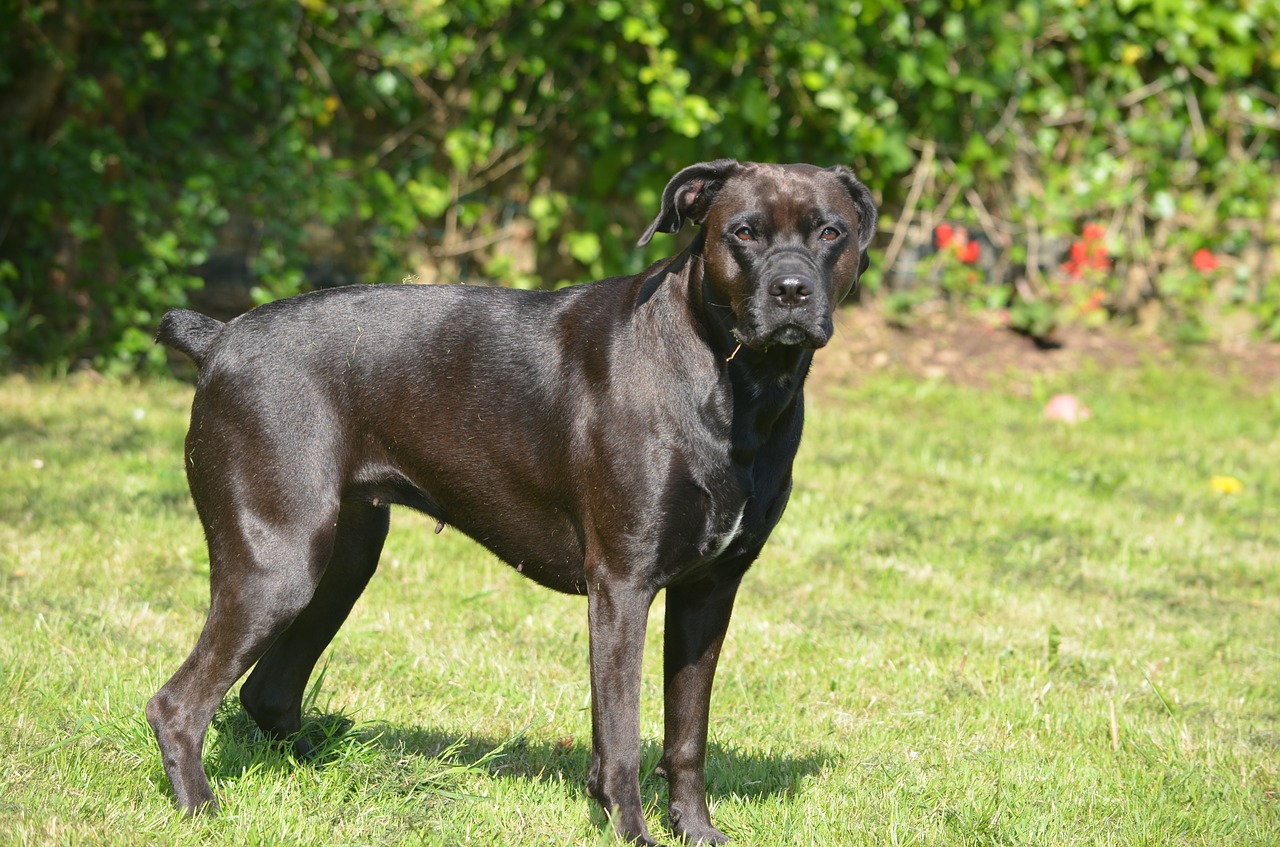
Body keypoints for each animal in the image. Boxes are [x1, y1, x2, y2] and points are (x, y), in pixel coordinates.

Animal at [147, 161, 870, 847]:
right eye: (743, 232)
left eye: (831, 232)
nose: (792, 292)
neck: (734, 378)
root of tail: (220, 338)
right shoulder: (623, 585)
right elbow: (623, 734)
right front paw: (632, 830)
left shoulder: (709, 591)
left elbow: (686, 732)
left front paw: (694, 829)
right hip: (279, 564)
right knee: (178, 703)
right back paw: (203, 809)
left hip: (343, 561)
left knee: (267, 691)